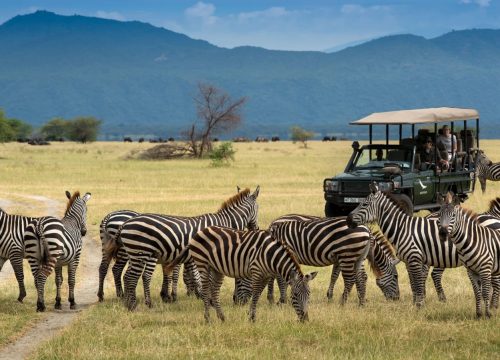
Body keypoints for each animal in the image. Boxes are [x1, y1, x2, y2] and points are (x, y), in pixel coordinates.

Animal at [114, 188, 260, 310]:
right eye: (258, 209)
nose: (256, 228)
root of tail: (125, 223)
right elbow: (208, 280)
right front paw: (210, 301)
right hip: (140, 253)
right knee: (130, 277)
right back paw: (134, 305)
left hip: (134, 254)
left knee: (126, 276)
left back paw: (128, 303)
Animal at [166, 226, 318, 322]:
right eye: (295, 295)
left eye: (309, 294)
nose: (305, 319)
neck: (270, 255)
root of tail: (199, 232)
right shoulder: (256, 271)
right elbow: (255, 294)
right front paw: (251, 318)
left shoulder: (266, 275)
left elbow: (258, 294)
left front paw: (251, 315)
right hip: (203, 264)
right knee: (205, 290)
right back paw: (208, 318)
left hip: (216, 268)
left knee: (214, 291)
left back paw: (221, 317)